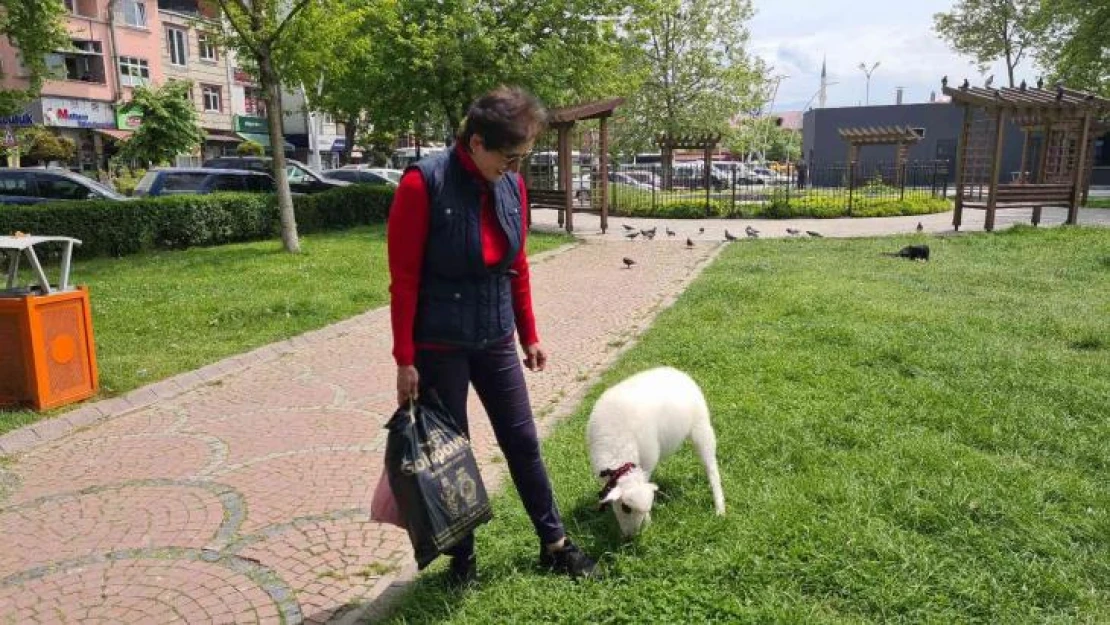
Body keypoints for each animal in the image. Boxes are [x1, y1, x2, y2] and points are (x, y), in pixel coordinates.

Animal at [586, 366, 723, 537]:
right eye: (626, 508)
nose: (630, 536)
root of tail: (675, 371)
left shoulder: (646, 463)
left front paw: (648, 524)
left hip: (701, 426)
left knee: (711, 468)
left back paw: (720, 508)